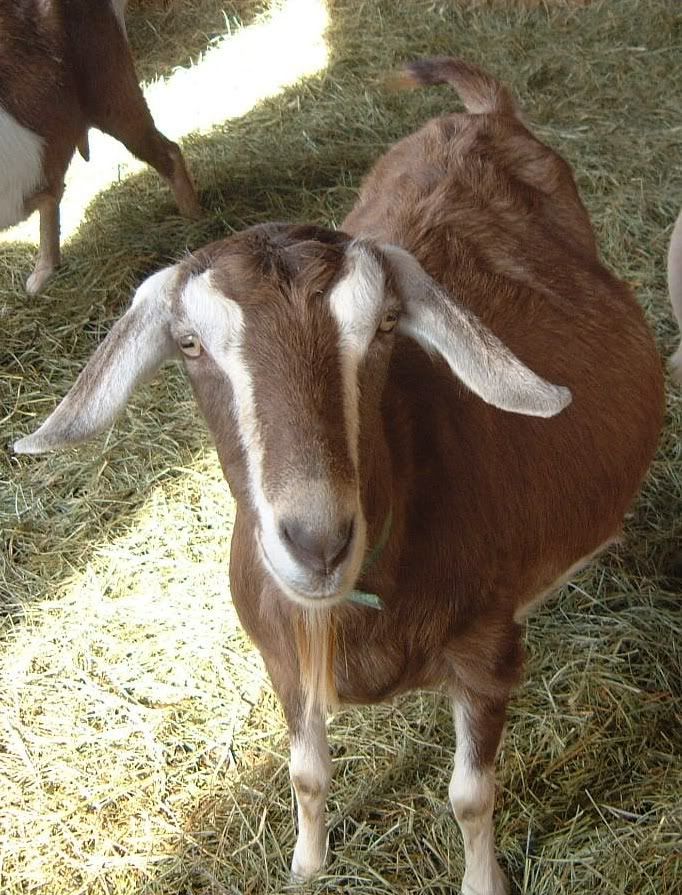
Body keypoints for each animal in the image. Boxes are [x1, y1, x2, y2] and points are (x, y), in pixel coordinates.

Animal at [13, 58, 663, 893]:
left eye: (384, 325)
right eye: (189, 343)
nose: (317, 542)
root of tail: (480, 115)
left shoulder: (488, 654)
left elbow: (470, 795)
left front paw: (482, 880)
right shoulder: (281, 658)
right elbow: (307, 773)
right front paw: (306, 863)